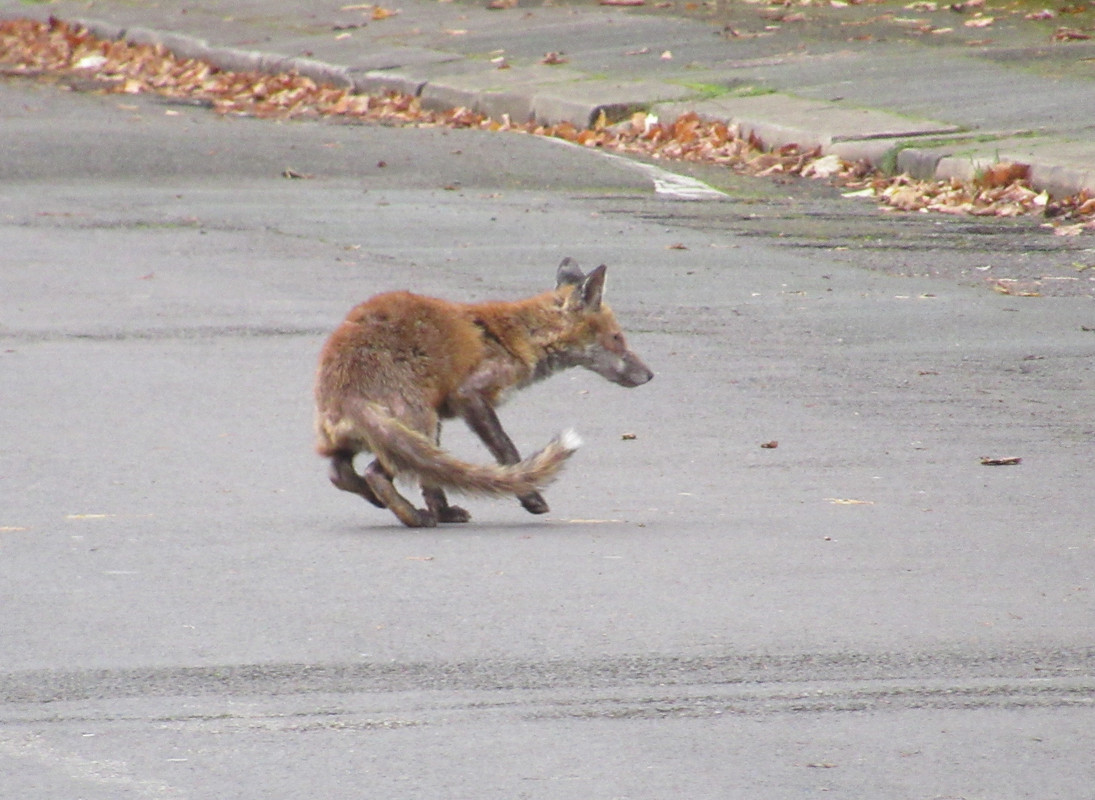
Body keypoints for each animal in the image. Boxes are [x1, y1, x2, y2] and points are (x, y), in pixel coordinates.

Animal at [314, 257, 653, 527]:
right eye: (617, 337)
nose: (650, 375)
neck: (521, 336)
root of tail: (347, 388)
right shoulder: (470, 395)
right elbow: (507, 452)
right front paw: (530, 498)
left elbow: (433, 481)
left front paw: (442, 509)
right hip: (419, 426)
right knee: (376, 473)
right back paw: (415, 517)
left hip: (395, 433)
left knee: (340, 473)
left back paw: (399, 505)